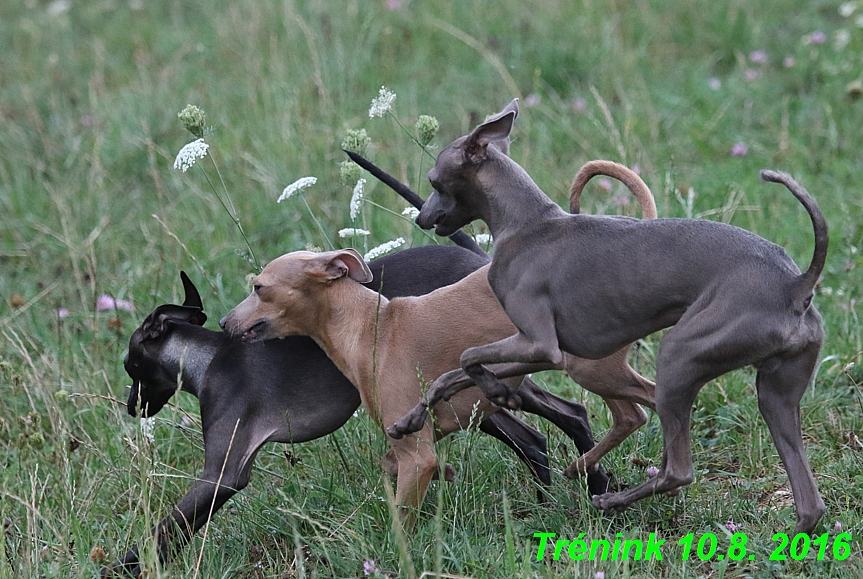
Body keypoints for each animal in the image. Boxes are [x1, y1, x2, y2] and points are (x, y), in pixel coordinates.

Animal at [221, 162, 656, 520]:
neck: (371, 326)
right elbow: (391, 462)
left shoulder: (418, 456)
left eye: (259, 287)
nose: (224, 322)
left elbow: (403, 517)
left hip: (593, 368)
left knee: (631, 413)